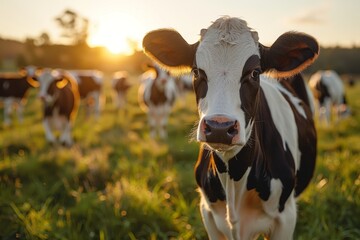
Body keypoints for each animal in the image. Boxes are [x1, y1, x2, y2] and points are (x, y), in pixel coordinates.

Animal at [142, 15, 320, 239]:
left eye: (255, 73)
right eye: (196, 71)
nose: (219, 127)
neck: (235, 180)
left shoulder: (286, 216)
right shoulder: (208, 213)